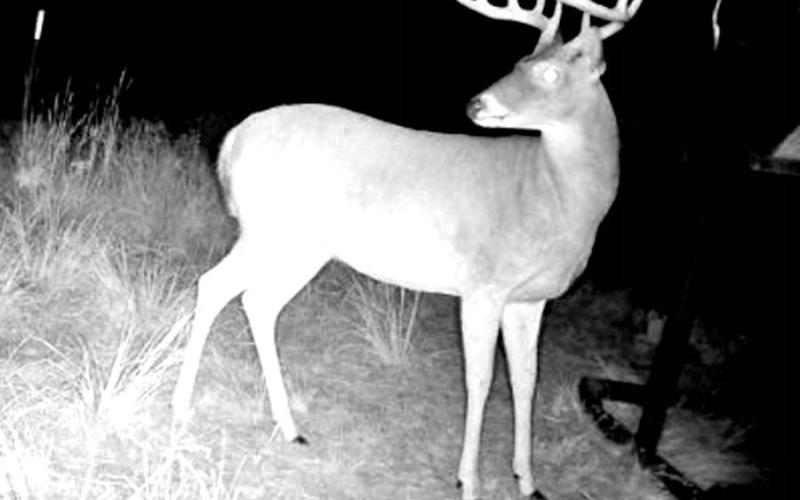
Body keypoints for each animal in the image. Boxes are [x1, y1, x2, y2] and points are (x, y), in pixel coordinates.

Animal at [171, 0, 642, 498]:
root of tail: (232, 141)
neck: (557, 199)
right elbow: (480, 380)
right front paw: (469, 481)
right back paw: (182, 407)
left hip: (305, 247)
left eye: (549, 72)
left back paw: (290, 428)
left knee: (258, 302)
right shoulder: (483, 285)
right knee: (214, 284)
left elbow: (526, 381)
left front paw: (528, 481)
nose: (476, 103)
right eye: (518, 62)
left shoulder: (531, 299)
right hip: (268, 229)